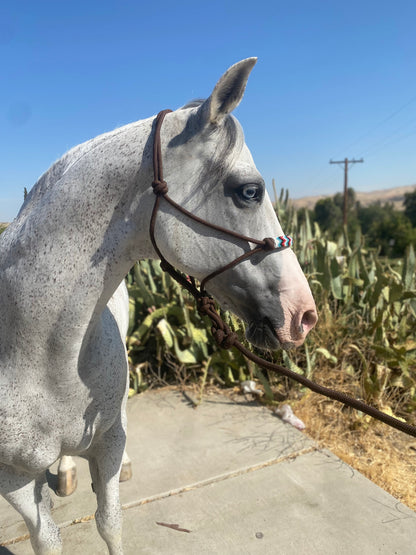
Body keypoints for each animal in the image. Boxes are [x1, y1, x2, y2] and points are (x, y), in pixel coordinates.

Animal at [0, 58, 316, 552]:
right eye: (249, 191)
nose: (304, 314)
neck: (37, 355)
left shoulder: (107, 442)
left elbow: (110, 521)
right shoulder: (12, 479)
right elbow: (47, 539)